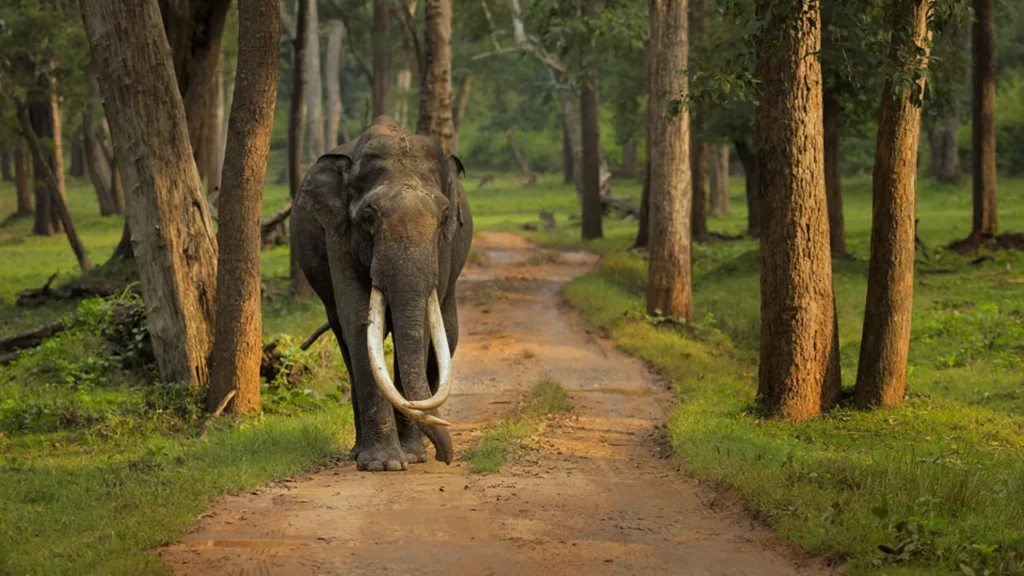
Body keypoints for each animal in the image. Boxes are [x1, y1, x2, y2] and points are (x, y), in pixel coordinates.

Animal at [292, 116, 473, 472]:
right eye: (368, 217)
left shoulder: (443, 248)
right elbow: (357, 318)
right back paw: (358, 453)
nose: (446, 458)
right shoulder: (337, 234)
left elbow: (424, 330)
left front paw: (413, 456)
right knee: (345, 340)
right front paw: (382, 464)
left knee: (448, 333)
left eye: (445, 216)